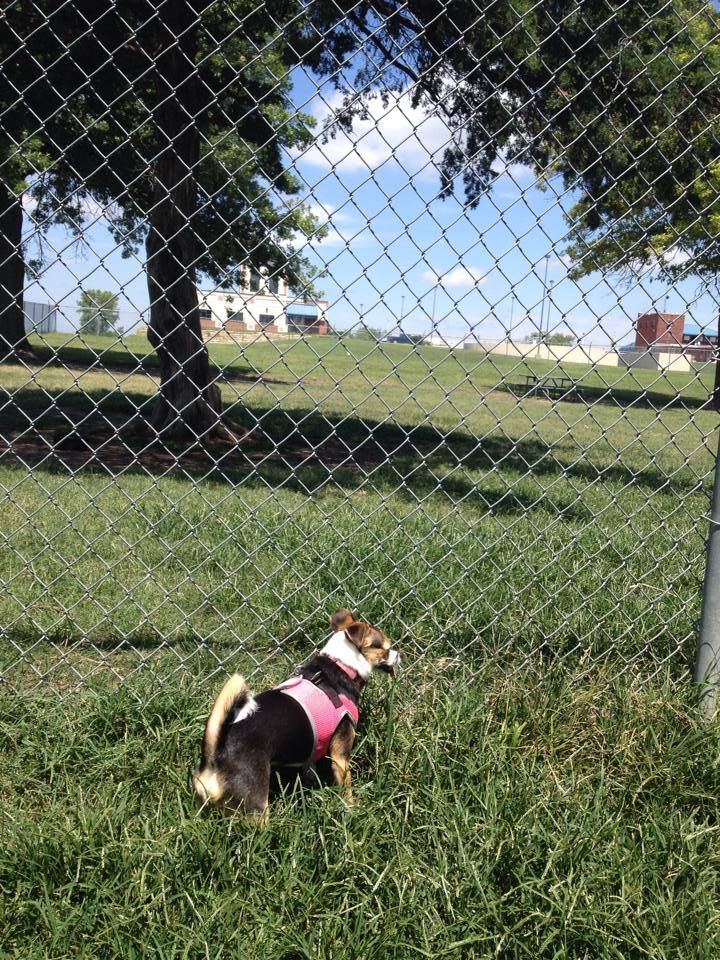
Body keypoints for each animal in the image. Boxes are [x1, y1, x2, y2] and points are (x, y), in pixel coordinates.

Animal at [193, 609, 400, 817]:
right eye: (386, 648)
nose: (401, 655)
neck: (342, 666)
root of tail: (215, 756)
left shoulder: (313, 752)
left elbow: (310, 773)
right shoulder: (340, 756)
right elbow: (346, 786)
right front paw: (352, 809)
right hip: (256, 803)